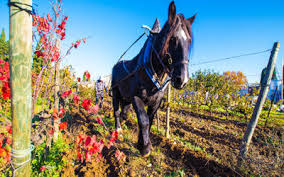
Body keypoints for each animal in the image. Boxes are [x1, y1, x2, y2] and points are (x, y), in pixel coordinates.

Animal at [111, 1, 195, 156]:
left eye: (189, 41)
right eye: (172, 38)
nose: (183, 79)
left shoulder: (156, 102)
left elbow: (149, 121)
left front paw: (142, 142)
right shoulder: (136, 97)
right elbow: (143, 120)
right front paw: (145, 148)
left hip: (126, 97)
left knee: (124, 111)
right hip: (115, 92)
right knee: (116, 111)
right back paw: (117, 128)